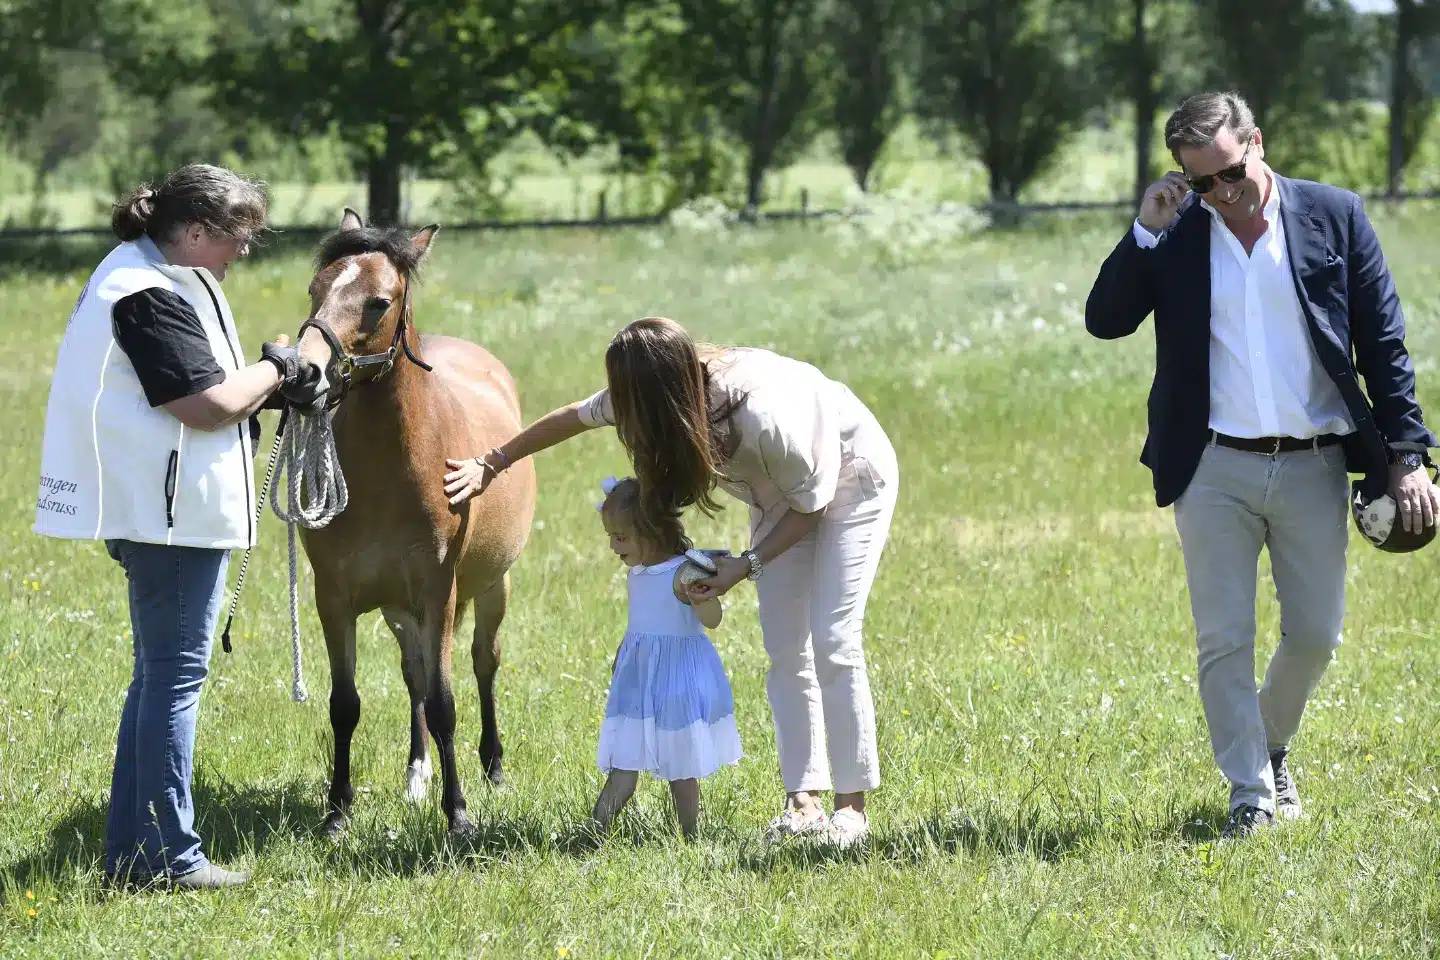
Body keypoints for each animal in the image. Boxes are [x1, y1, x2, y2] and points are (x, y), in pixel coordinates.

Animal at [290, 208, 535, 834]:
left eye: (379, 302)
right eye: (315, 289)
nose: (303, 373)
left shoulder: (437, 592)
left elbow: (446, 704)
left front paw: (459, 815)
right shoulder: (336, 597)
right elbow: (346, 705)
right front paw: (337, 811)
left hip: (491, 589)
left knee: (482, 664)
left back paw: (493, 767)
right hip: (401, 613)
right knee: (415, 676)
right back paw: (416, 774)